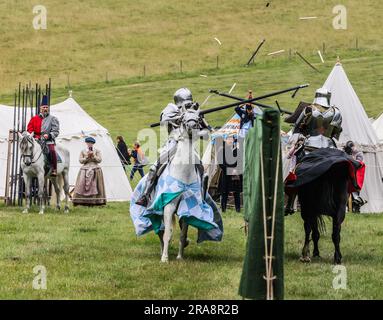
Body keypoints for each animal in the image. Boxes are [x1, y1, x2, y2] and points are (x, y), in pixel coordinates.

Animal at [159, 110, 210, 262]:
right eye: (183, 119)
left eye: (198, 119)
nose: (192, 126)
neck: (183, 173)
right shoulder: (168, 207)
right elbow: (167, 233)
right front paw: (165, 258)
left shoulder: (188, 208)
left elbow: (182, 234)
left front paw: (180, 256)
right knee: (162, 231)